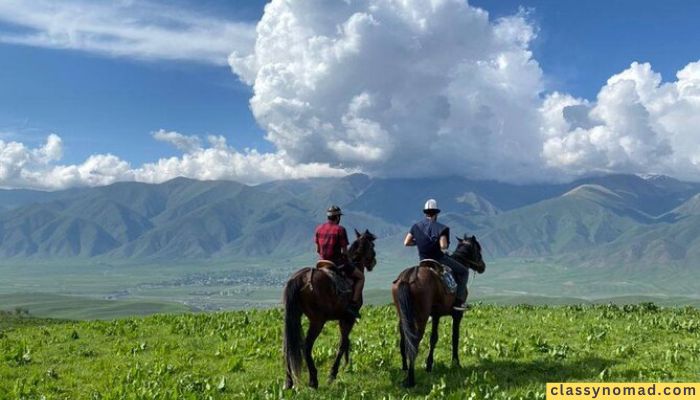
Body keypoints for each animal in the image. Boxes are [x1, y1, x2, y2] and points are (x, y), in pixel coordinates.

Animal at [282, 230, 378, 390]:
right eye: (372, 246)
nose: (373, 262)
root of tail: (299, 278)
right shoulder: (349, 318)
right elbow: (342, 343)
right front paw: (333, 373)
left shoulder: (342, 318)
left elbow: (346, 342)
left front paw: (346, 365)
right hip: (317, 321)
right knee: (306, 346)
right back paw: (313, 380)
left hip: (293, 317)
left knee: (289, 345)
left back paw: (289, 382)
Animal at [392, 234, 484, 388]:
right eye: (478, 249)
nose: (483, 266)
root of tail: (409, 276)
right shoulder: (456, 315)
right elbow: (454, 337)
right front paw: (455, 363)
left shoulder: (436, 315)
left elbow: (434, 338)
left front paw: (429, 365)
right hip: (420, 318)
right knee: (414, 342)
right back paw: (411, 380)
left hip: (403, 316)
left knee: (404, 340)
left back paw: (404, 368)